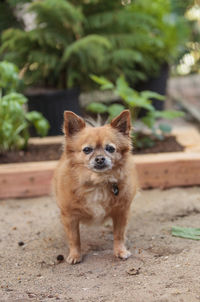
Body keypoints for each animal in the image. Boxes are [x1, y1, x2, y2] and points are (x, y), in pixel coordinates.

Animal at [53, 109, 138, 264]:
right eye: (87, 150)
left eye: (110, 148)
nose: (99, 159)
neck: (98, 181)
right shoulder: (70, 216)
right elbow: (74, 238)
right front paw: (75, 255)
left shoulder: (121, 212)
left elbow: (119, 234)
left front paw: (120, 250)